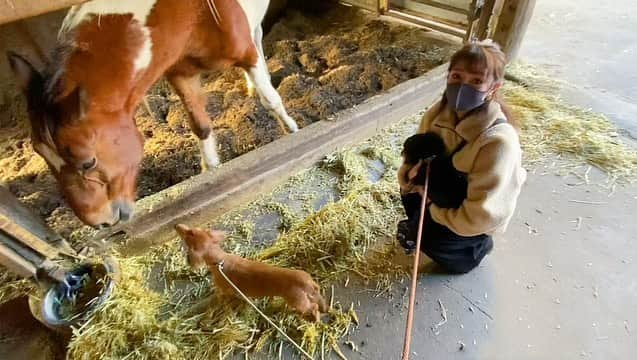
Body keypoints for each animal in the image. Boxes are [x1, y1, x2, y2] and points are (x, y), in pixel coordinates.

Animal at [8, 0, 298, 229]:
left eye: (88, 162)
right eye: (42, 156)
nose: (99, 222)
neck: (194, 13)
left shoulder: (247, 55)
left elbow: (272, 100)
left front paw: (292, 132)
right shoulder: (181, 73)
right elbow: (200, 125)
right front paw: (212, 168)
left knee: (258, 36)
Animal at [173, 224, 326, 322]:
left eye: (189, 233)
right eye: (194, 229)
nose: (176, 225)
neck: (220, 261)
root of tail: (307, 282)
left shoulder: (223, 289)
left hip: (298, 302)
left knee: (313, 307)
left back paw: (316, 319)